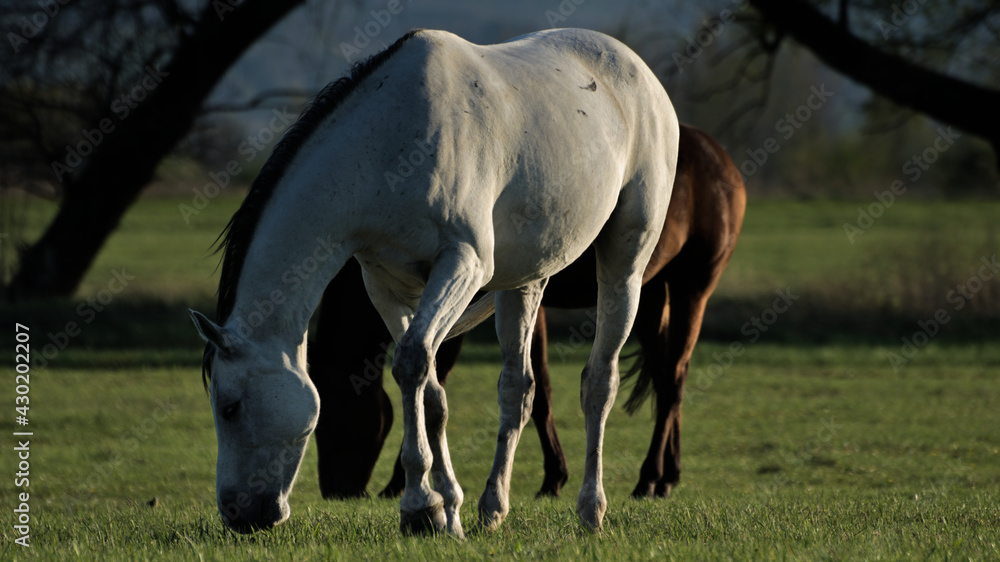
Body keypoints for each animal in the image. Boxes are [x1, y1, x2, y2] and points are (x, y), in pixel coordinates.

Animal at [189, 28, 680, 536]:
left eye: (230, 407)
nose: (238, 515)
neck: (388, 146)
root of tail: (635, 67)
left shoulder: (462, 264)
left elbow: (411, 365)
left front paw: (419, 507)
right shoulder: (386, 285)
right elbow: (431, 391)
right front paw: (449, 511)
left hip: (625, 264)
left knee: (599, 383)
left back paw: (590, 510)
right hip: (525, 280)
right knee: (517, 389)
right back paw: (492, 510)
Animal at [308, 123, 745, 501]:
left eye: (335, 420)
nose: (336, 491)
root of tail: (721, 158)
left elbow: (439, 378)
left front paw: (403, 482)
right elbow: (542, 391)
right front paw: (554, 477)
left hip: (692, 288)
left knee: (672, 380)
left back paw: (650, 478)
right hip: (651, 290)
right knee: (668, 371)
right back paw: (668, 475)